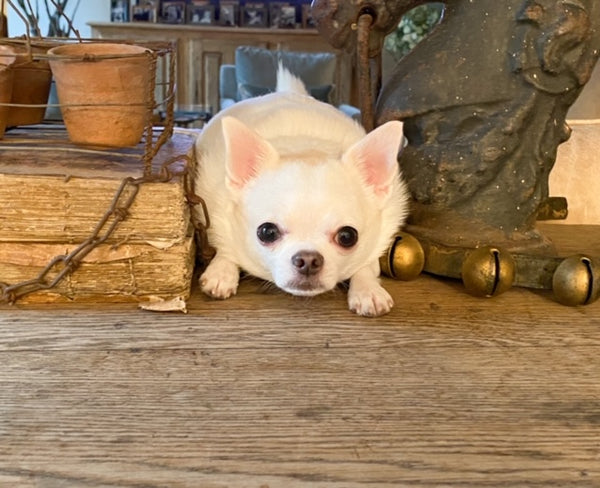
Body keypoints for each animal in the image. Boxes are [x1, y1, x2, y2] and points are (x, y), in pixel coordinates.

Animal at [195, 67, 410, 316]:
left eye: (348, 236)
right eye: (267, 232)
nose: (308, 260)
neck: (307, 146)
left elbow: (366, 265)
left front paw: (368, 289)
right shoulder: (214, 209)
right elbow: (225, 246)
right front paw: (221, 271)